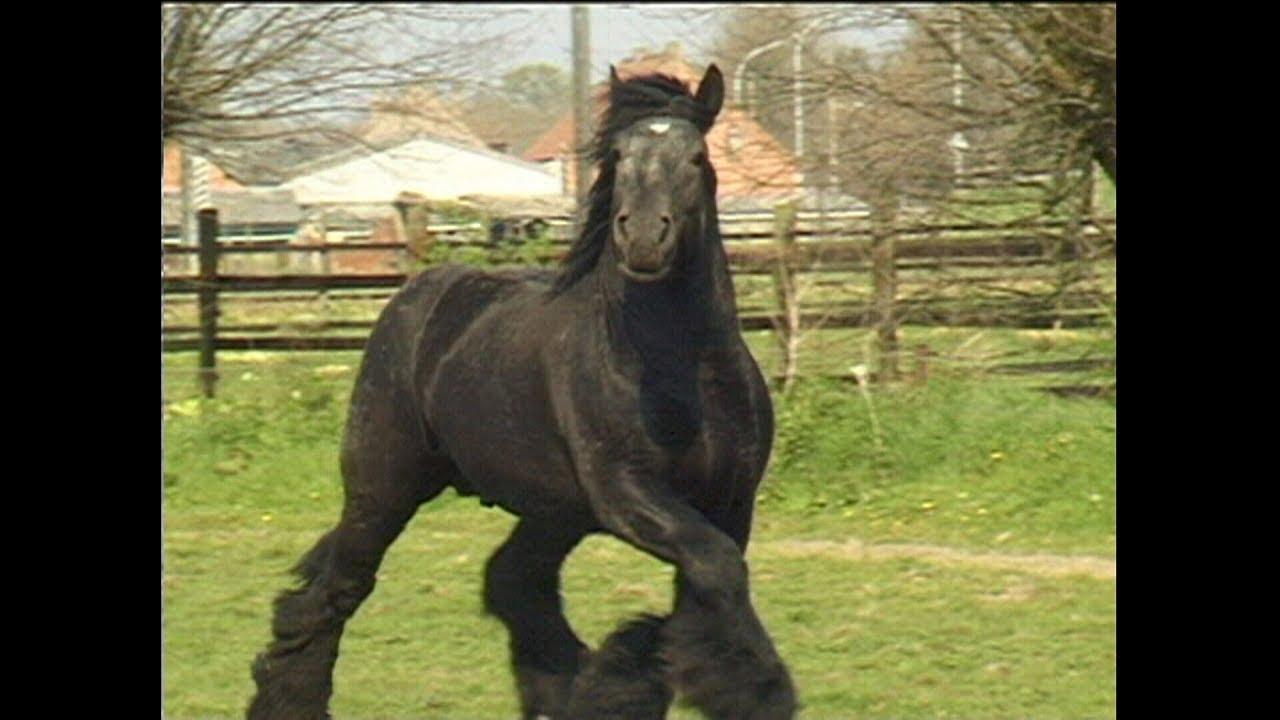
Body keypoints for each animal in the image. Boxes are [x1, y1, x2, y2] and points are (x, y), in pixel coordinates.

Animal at [247, 63, 796, 720]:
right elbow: (717, 572)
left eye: (696, 157)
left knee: (513, 582)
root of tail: (418, 295)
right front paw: (751, 687)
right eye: (618, 155)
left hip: (550, 508)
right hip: (383, 489)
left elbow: (708, 586)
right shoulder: (631, 495)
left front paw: (625, 679)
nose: (642, 239)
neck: (680, 372)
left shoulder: (728, 503)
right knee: (337, 590)